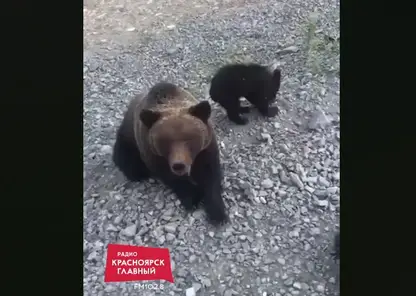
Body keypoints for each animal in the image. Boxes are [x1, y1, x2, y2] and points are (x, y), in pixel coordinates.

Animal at [112, 82, 229, 225]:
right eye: (166, 141)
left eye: (189, 139)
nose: (179, 165)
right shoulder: (151, 150)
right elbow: (168, 175)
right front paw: (193, 195)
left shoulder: (206, 147)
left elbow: (210, 172)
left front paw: (218, 212)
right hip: (129, 136)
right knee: (130, 163)